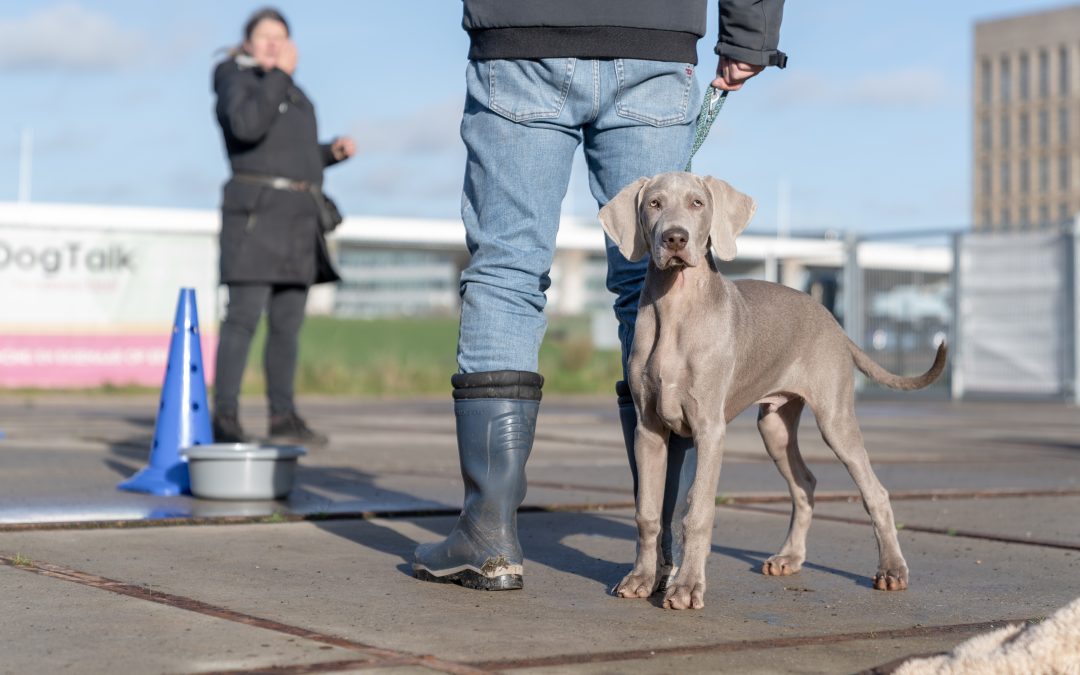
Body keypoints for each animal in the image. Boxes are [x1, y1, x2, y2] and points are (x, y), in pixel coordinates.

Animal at [600, 170, 946, 609]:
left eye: (697, 203)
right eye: (654, 204)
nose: (675, 238)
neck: (677, 309)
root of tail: (833, 321)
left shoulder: (709, 429)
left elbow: (696, 511)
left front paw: (687, 586)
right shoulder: (648, 429)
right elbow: (647, 512)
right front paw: (641, 578)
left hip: (835, 419)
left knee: (876, 492)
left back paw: (891, 570)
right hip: (775, 426)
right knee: (805, 484)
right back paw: (789, 557)